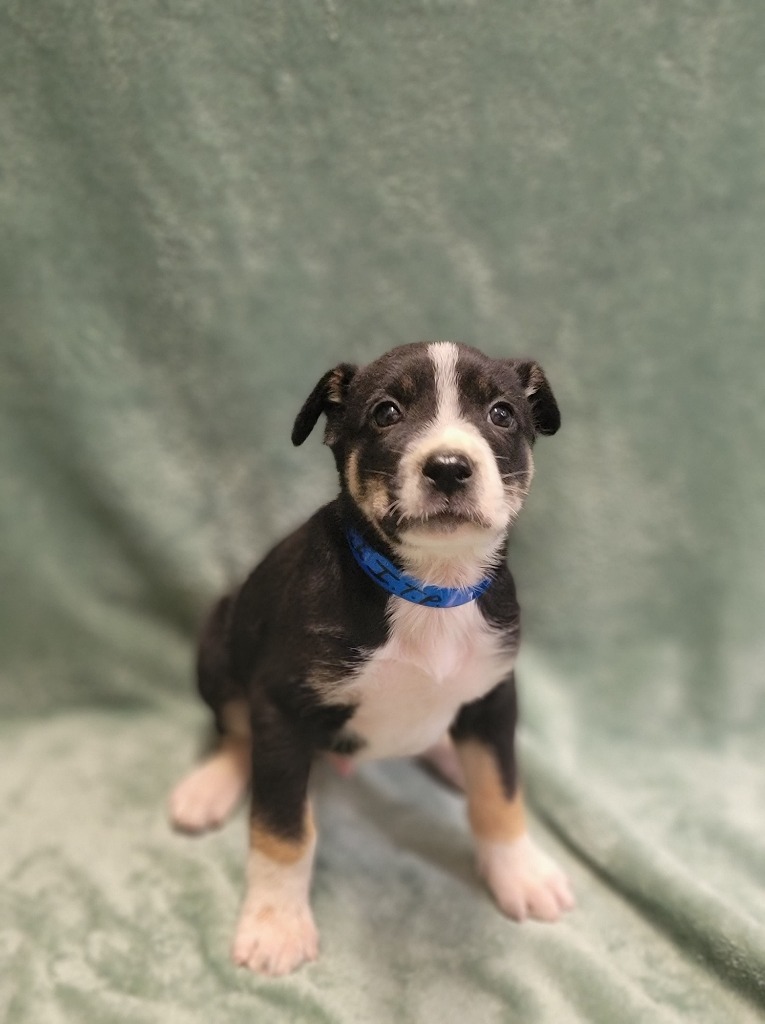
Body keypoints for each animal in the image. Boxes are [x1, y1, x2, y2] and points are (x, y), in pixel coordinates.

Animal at [168, 342, 573, 974]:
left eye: (502, 413)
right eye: (386, 412)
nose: (449, 466)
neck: (430, 588)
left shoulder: (493, 693)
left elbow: (500, 791)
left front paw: (521, 874)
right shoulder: (282, 706)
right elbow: (282, 829)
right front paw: (275, 925)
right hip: (219, 641)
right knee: (235, 728)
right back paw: (209, 786)